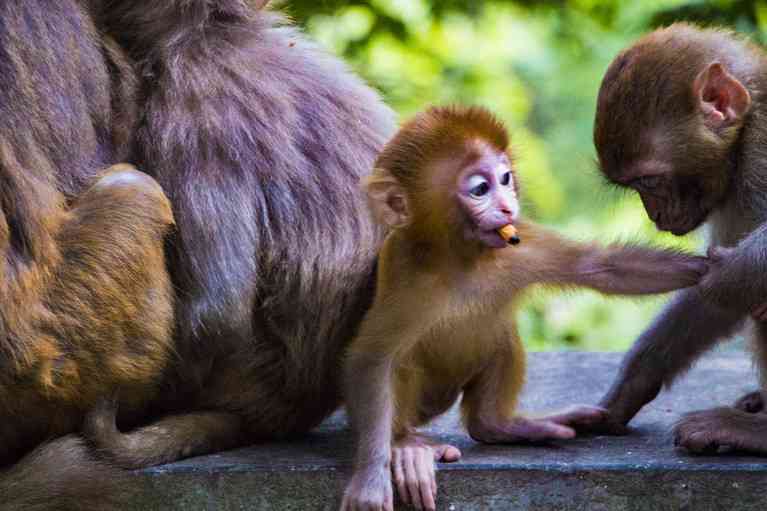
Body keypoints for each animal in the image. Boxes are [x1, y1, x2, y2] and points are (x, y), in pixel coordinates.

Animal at [342, 105, 708, 511]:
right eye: (480, 189)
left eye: (505, 179)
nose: (507, 205)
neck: (462, 258)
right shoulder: (407, 278)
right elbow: (373, 359)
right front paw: (372, 476)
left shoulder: (521, 244)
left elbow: (601, 267)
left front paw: (713, 265)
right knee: (404, 364)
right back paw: (405, 445)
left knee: (499, 338)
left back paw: (500, 426)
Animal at [576, 23, 767, 456]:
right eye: (633, 186)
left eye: (649, 181)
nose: (657, 216)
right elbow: (716, 305)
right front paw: (630, 386)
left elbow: (730, 287)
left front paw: (727, 272)